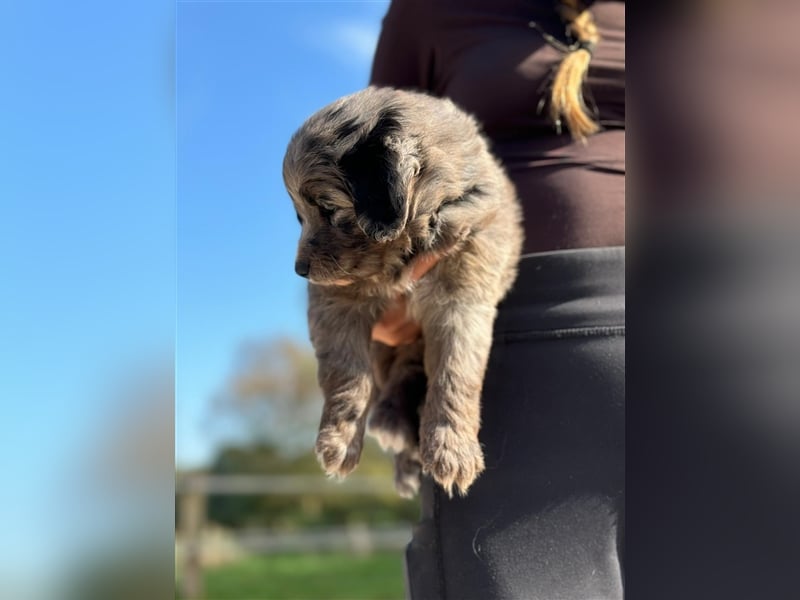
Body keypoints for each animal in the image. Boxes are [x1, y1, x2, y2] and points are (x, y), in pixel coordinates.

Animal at [282, 85, 524, 496]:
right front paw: (339, 440)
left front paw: (452, 449)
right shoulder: (335, 303)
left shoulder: (463, 300)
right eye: (301, 215)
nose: (301, 271)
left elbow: (456, 372)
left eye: (329, 209)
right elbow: (346, 373)